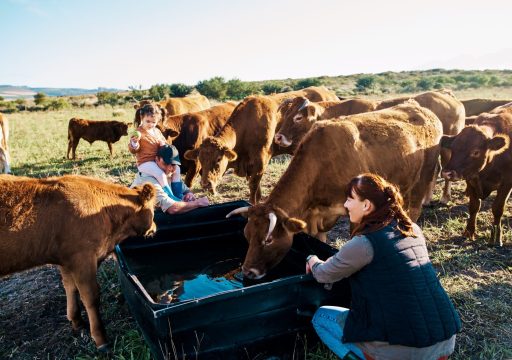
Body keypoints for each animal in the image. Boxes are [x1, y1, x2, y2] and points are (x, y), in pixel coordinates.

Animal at [0, 176, 156, 350]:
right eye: (153, 211)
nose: (155, 228)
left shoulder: (66, 260)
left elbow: (70, 287)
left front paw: (76, 321)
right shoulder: (82, 257)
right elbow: (90, 297)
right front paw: (101, 339)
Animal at [226, 101, 442, 278]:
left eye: (268, 239)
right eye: (247, 234)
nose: (248, 272)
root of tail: (424, 110)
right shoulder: (317, 217)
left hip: (424, 177)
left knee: (415, 209)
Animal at [440, 110, 512, 245]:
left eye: (476, 152)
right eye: (452, 148)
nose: (447, 173)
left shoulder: (507, 183)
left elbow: (497, 208)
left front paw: (496, 238)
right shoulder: (471, 179)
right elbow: (474, 206)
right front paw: (469, 232)